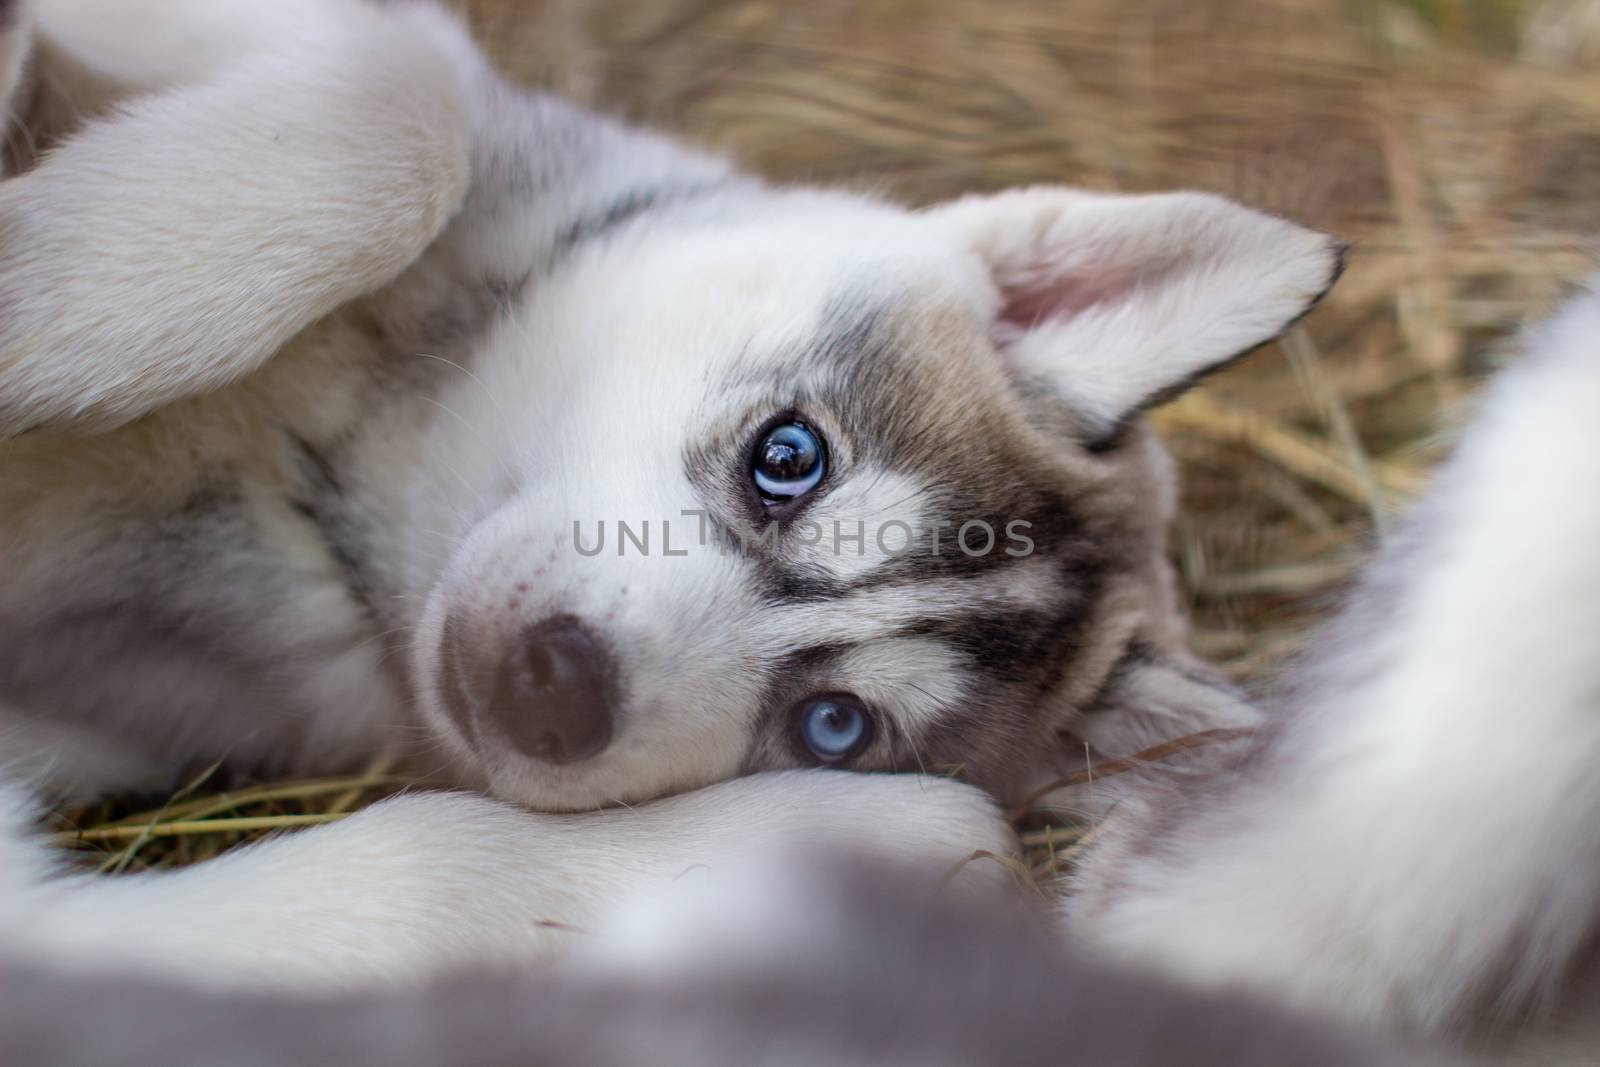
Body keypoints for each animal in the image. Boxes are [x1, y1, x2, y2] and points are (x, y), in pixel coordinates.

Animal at [0, 0, 1337, 985]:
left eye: (834, 724)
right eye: (788, 457)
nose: (550, 685)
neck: (339, 482)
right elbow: (407, 103)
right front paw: (60, 295)